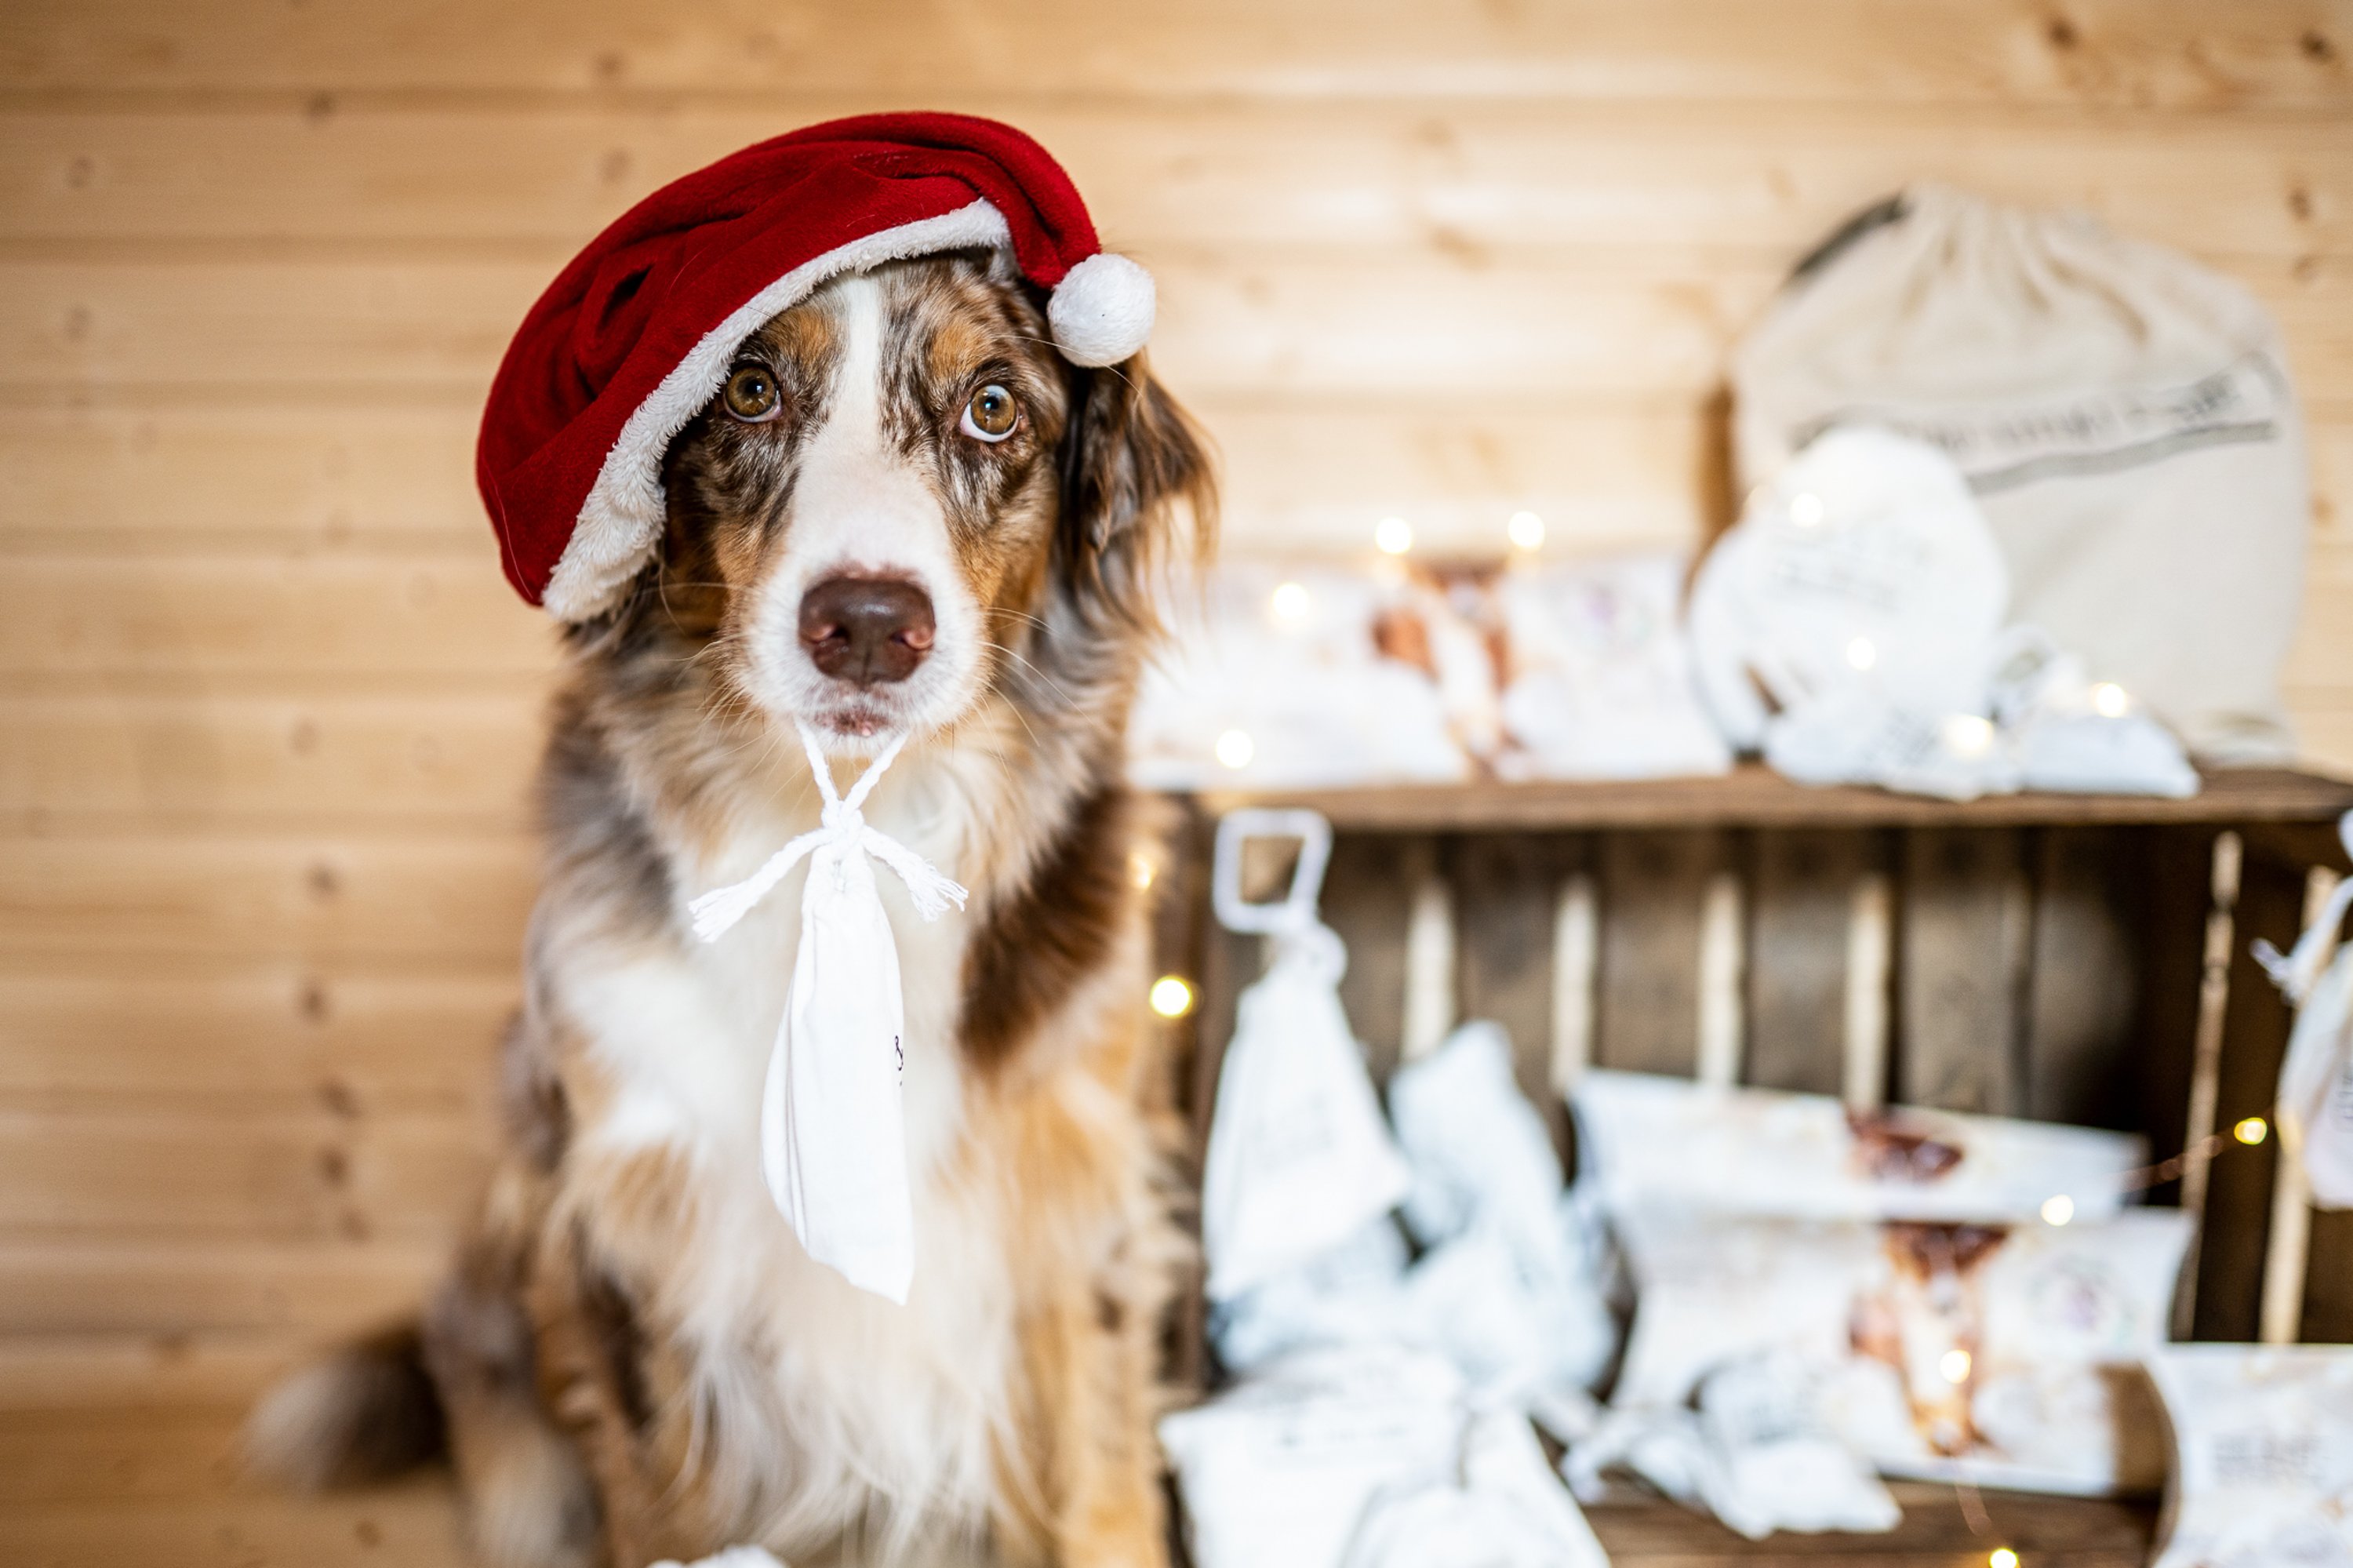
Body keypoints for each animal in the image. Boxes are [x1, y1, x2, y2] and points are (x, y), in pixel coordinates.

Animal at [253, 245, 1214, 1563]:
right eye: (750, 391)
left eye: (994, 405)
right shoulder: (630, 1216)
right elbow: (665, 1508)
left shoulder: (1078, 1189)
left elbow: (1102, 1489)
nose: (868, 624)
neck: (849, 822)